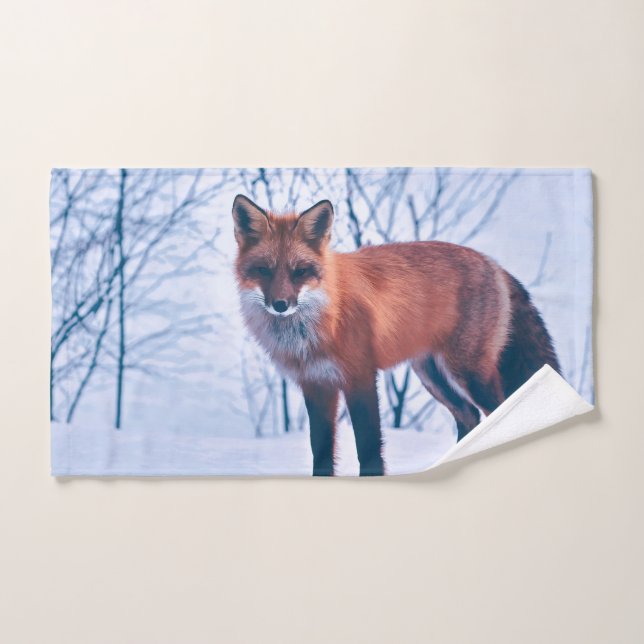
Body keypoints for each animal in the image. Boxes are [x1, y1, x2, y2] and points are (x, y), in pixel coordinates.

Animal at [232, 194, 561, 476]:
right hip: (432, 376)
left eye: (299, 271)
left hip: (469, 374)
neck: (318, 324)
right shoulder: (316, 385)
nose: (280, 305)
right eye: (264, 270)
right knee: (469, 416)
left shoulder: (360, 377)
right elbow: (321, 452)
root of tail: (493, 263)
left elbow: (369, 448)